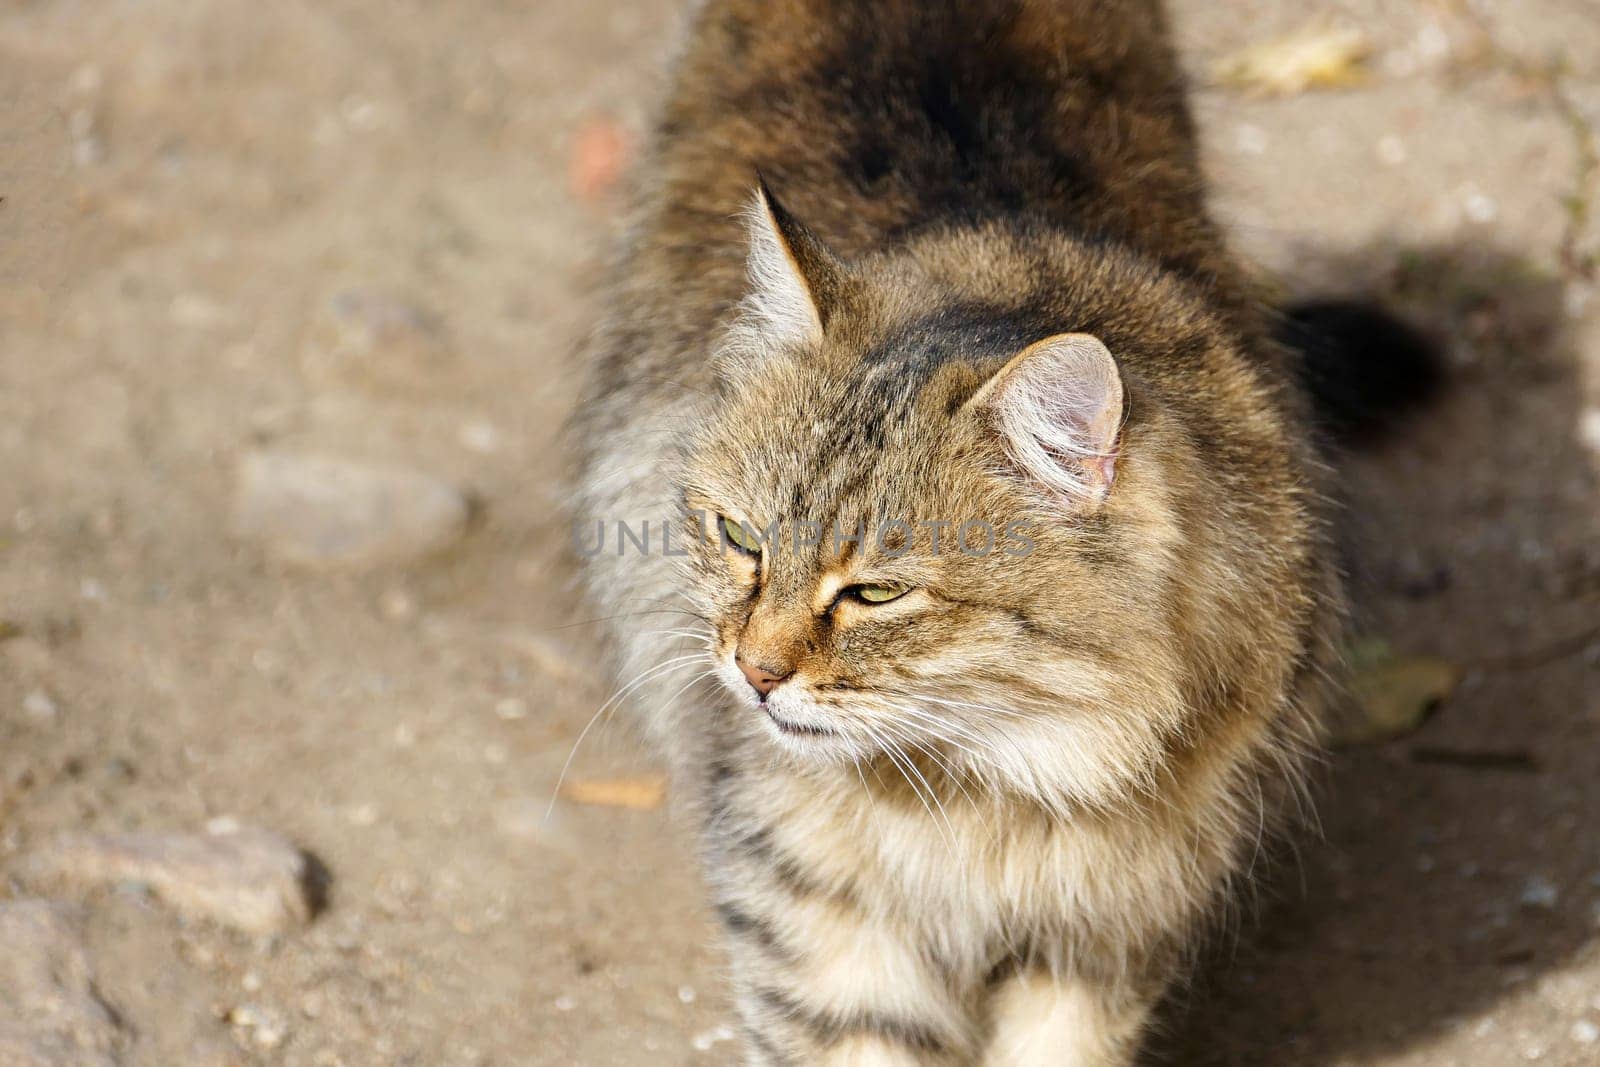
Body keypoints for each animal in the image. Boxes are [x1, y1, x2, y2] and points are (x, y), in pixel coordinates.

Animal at [572, 4, 1440, 1062]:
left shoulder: (1106, 937)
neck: (997, 788)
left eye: (877, 591)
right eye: (741, 537)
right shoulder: (821, 938)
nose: (753, 673)